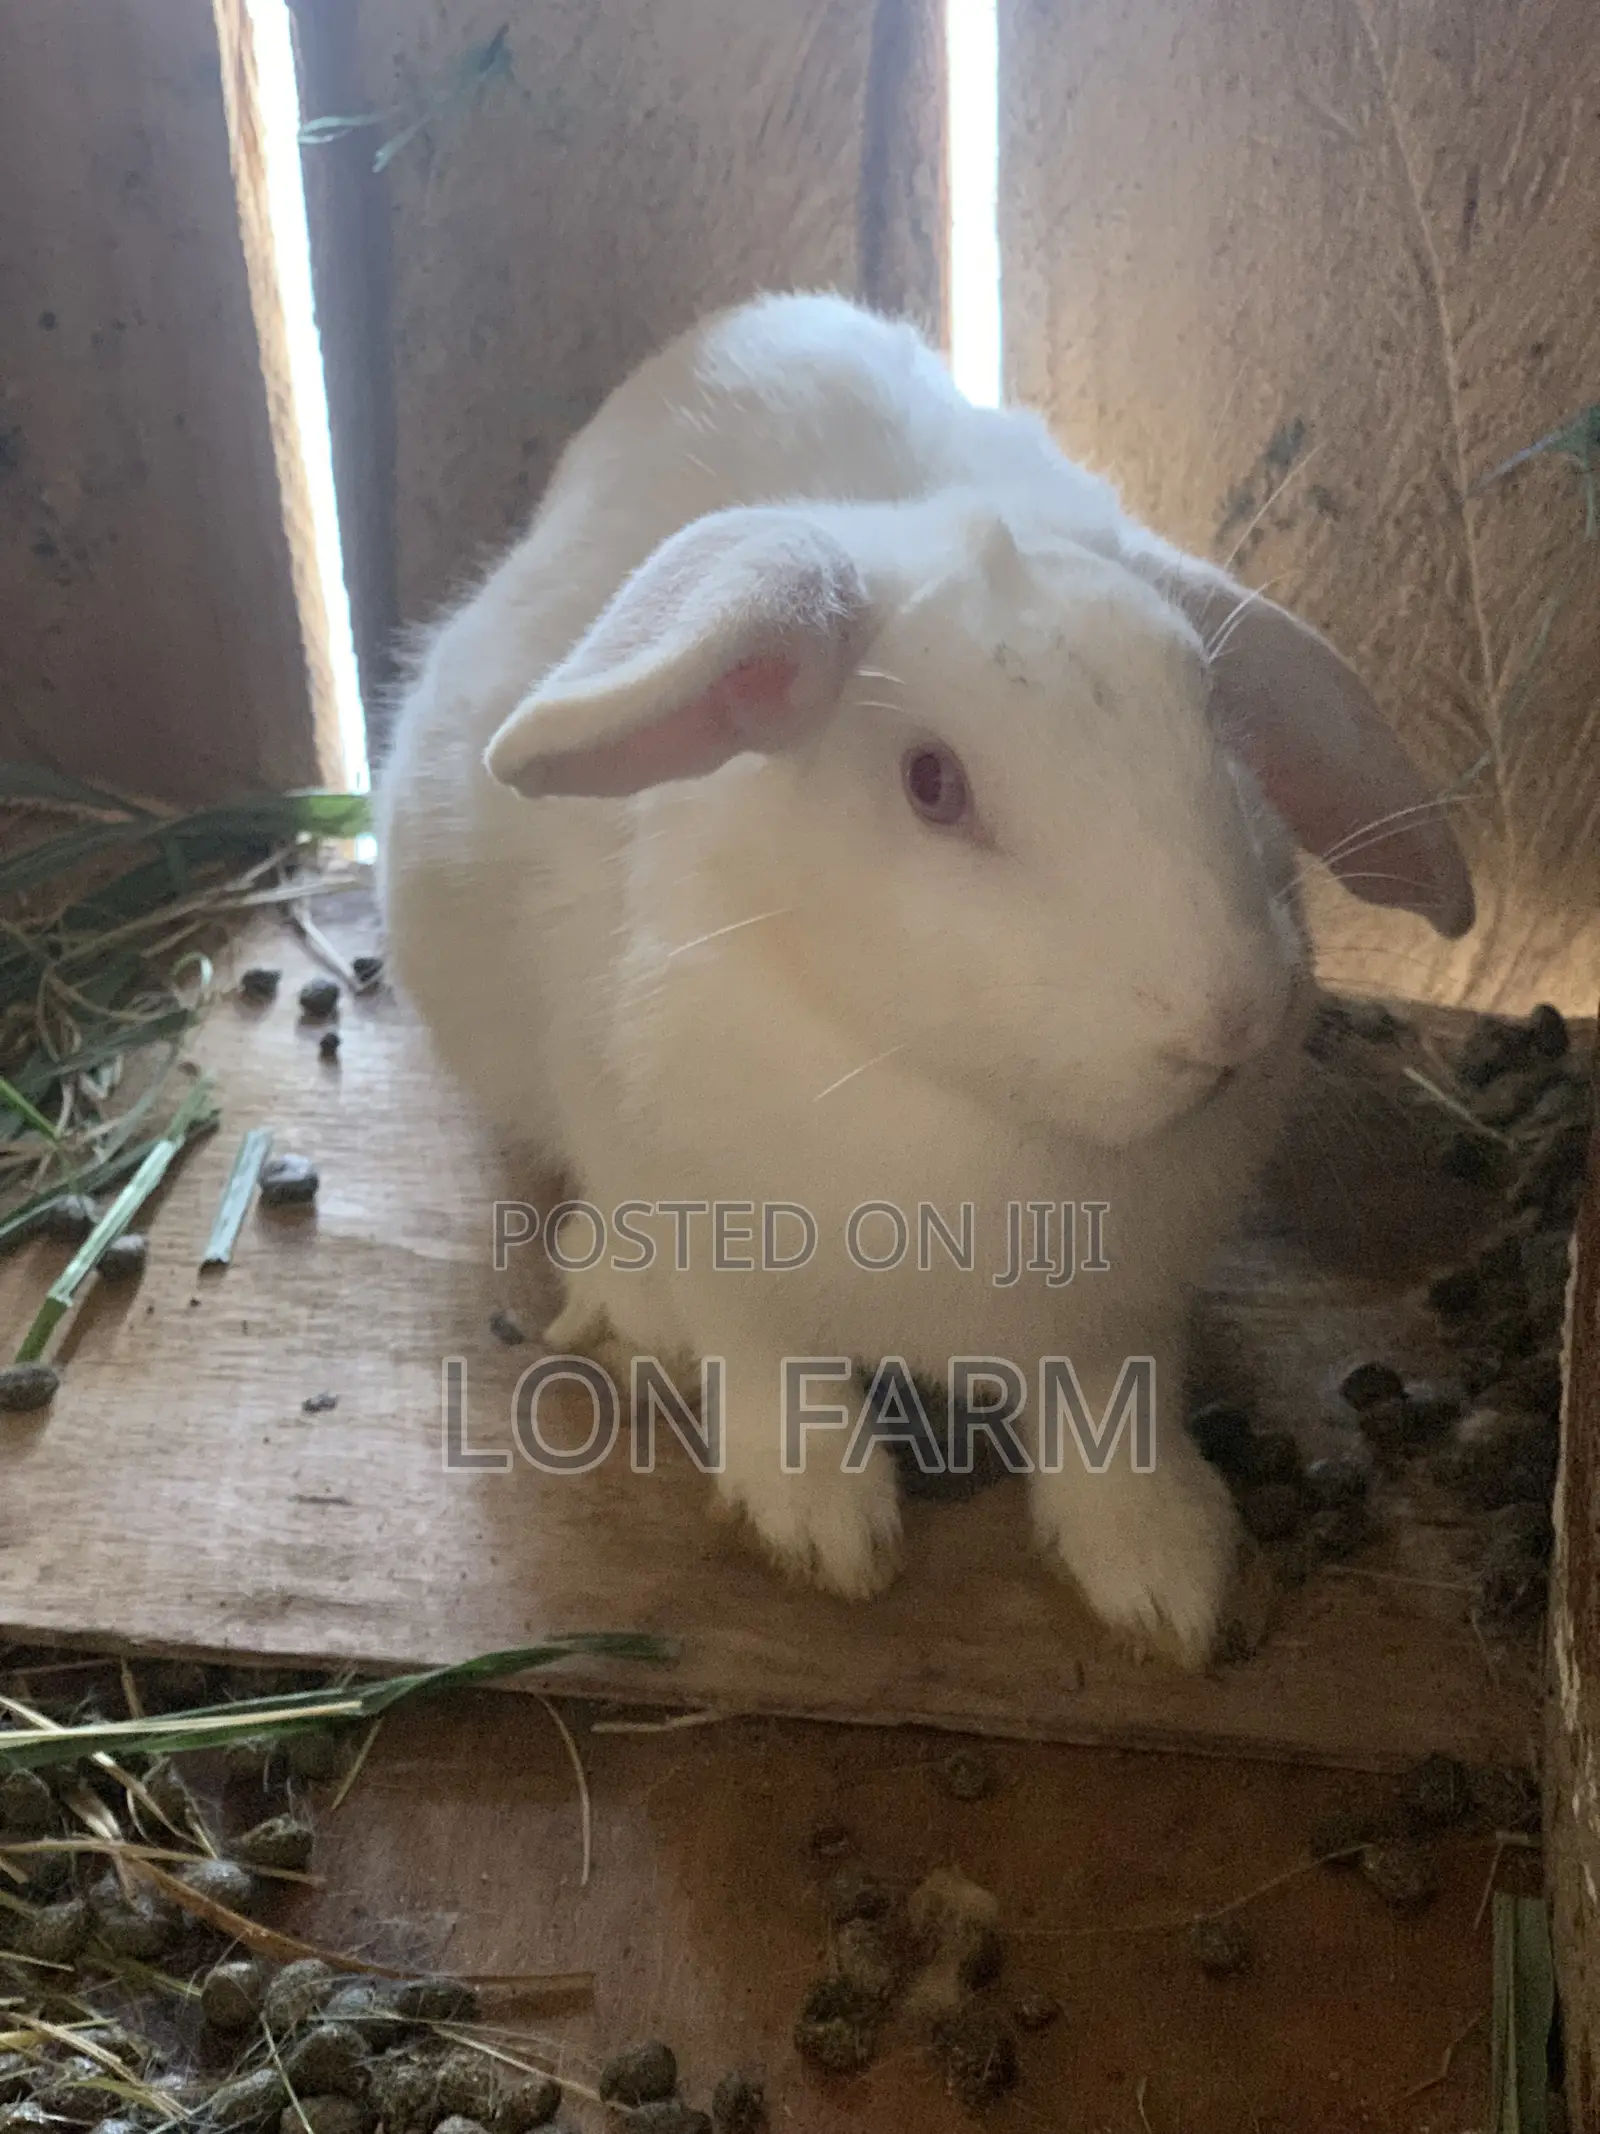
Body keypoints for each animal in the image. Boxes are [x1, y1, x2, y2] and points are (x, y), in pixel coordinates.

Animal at [377, 291, 1472, 1666]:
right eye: (931, 783)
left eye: (1210, 719)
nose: (1226, 1020)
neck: (971, 1116)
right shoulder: (710, 1232)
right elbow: (767, 1367)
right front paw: (821, 1526)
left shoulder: (1119, 1321)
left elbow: (1115, 1427)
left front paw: (1168, 1577)